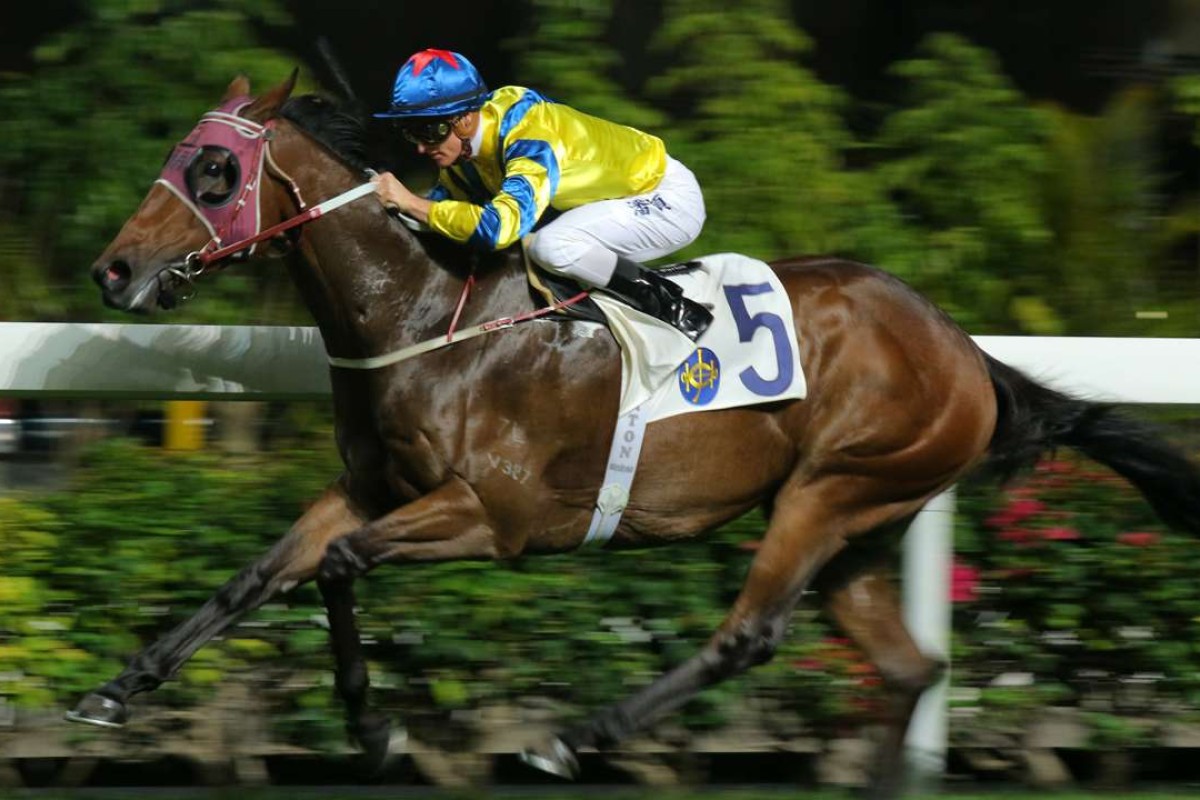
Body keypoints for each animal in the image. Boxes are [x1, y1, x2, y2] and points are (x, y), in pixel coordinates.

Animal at [68, 71, 1200, 796]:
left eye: (213, 173)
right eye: (181, 157)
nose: (114, 271)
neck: (427, 312)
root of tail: (966, 351)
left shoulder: (492, 517)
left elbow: (340, 567)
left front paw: (375, 727)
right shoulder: (374, 486)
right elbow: (263, 575)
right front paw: (117, 689)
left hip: (831, 489)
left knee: (750, 632)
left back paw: (577, 737)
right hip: (863, 524)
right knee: (909, 668)